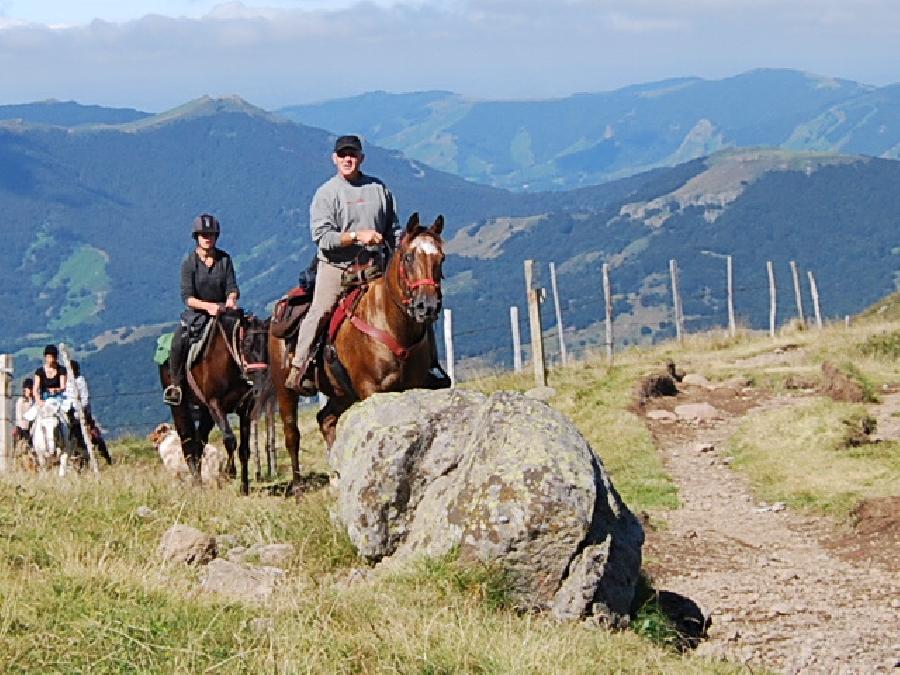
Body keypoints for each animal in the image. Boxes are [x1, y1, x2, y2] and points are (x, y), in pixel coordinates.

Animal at [158, 312, 268, 496]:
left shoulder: (245, 407)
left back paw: (200, 480)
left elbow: (244, 450)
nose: (262, 379)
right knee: (187, 442)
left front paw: (244, 487)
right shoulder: (215, 403)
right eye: (246, 344)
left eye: (267, 342)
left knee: (199, 442)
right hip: (180, 407)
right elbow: (230, 439)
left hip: (205, 411)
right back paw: (197, 484)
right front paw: (231, 472)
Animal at [268, 213, 450, 496]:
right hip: (285, 388)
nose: (427, 306)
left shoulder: (414, 386)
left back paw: (336, 477)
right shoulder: (369, 389)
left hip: (341, 392)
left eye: (441, 258)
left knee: (325, 419)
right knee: (291, 433)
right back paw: (298, 487)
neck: (390, 324)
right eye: (409, 257)